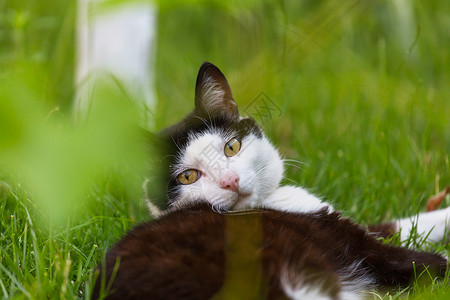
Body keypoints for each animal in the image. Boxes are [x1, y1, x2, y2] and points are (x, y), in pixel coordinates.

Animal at [92, 62, 450, 298]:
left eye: (232, 147)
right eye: (188, 176)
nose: (230, 181)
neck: (270, 201)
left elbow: (402, 224)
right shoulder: (352, 244)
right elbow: (422, 260)